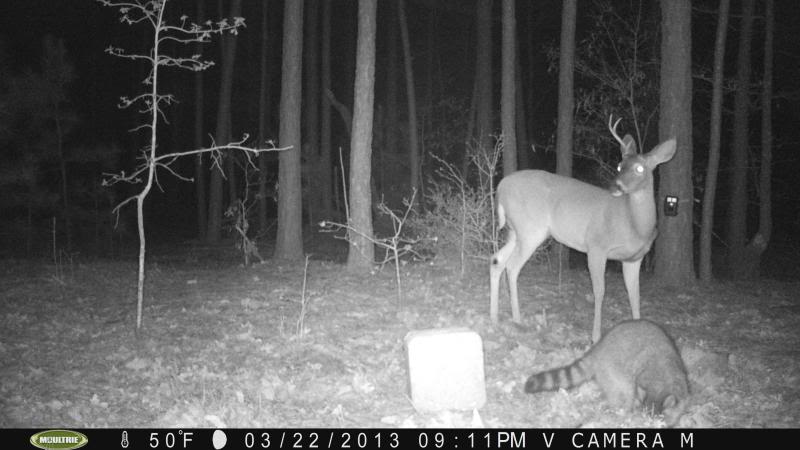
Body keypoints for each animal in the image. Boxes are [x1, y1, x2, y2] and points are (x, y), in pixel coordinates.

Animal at [488, 116, 676, 342]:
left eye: (640, 169)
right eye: (619, 165)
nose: (616, 186)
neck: (634, 225)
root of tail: (501, 186)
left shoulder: (633, 258)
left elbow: (635, 295)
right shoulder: (596, 246)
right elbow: (599, 291)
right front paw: (595, 336)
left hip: (516, 231)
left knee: (496, 260)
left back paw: (495, 318)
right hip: (530, 228)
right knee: (512, 266)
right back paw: (517, 319)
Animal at [524, 318, 688, 424]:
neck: (660, 383)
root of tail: (598, 349)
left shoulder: (681, 380)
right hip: (613, 372)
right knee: (625, 392)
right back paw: (622, 413)